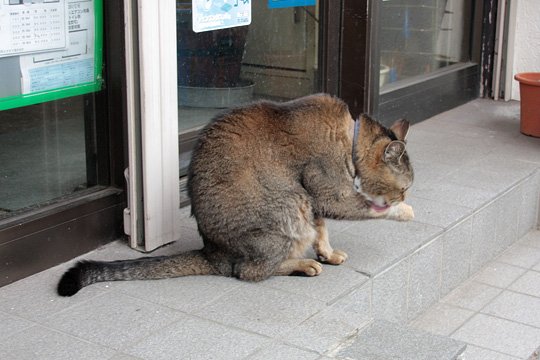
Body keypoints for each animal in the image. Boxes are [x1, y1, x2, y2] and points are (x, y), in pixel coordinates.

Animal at [58, 94, 414, 296]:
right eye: (404, 188)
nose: (403, 197)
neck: (349, 139)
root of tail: (212, 252)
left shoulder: (314, 199)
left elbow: (322, 228)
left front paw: (327, 251)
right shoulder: (326, 191)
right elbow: (363, 208)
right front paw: (403, 212)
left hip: (298, 201)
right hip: (289, 204)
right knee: (248, 271)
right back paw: (302, 264)